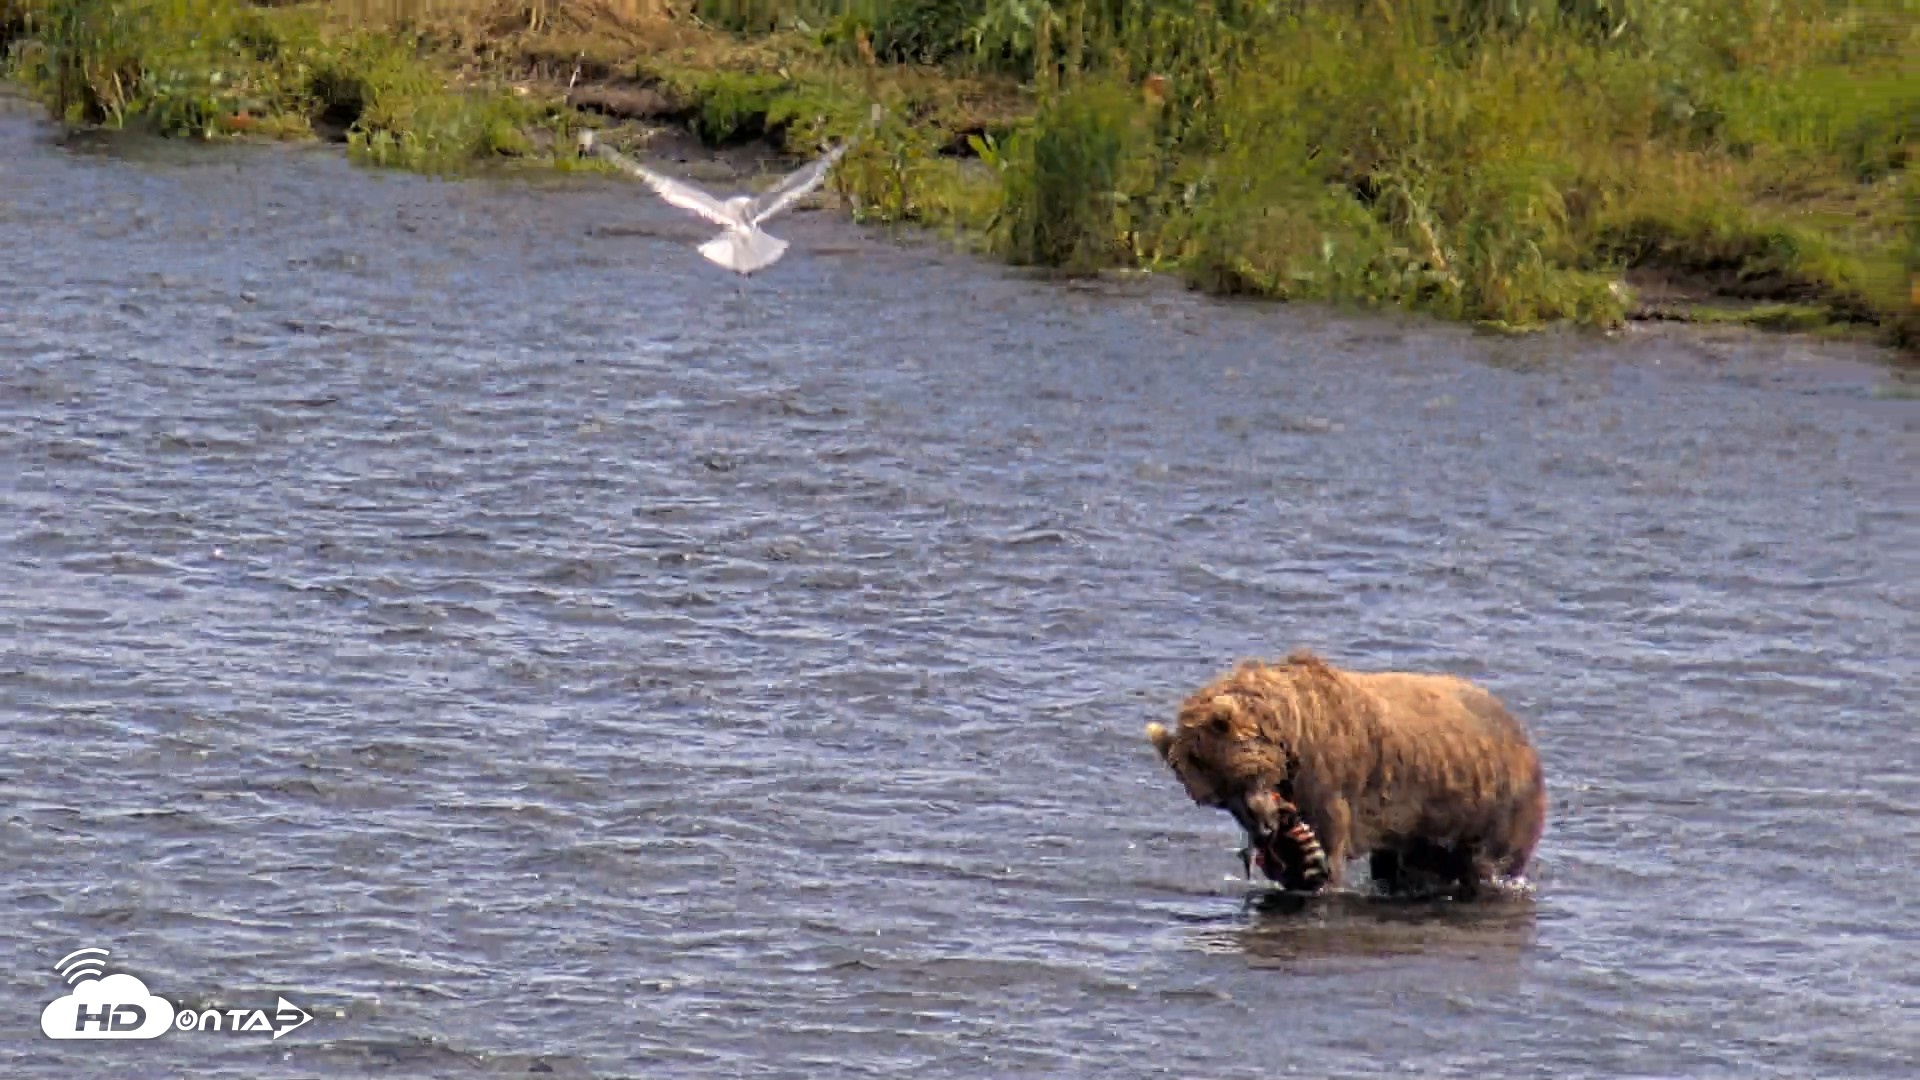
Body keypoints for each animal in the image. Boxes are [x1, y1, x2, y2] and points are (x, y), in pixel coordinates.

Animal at [1145, 649, 1547, 899]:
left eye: (1242, 778)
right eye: (1218, 799)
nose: (1264, 829)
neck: (1290, 734)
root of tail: (1526, 737)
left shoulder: (1328, 778)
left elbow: (1329, 844)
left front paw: (1316, 872)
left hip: (1492, 807)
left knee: (1489, 863)